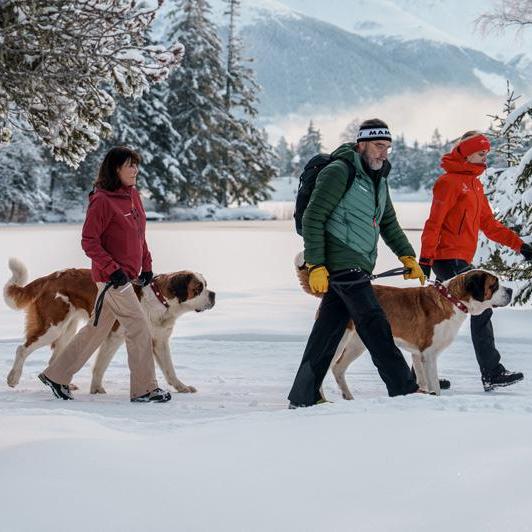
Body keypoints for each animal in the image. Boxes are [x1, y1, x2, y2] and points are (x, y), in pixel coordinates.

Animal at [3, 258, 216, 394]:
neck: (159, 298)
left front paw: (182, 387)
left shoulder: (159, 341)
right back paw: (13, 378)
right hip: (53, 326)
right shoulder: (115, 336)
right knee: (22, 348)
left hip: (68, 328)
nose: (213, 294)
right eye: (198, 288)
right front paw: (96, 389)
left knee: (55, 357)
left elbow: (170, 369)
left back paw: (61, 383)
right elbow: (101, 364)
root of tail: (50, 276)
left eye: (206, 285)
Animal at [294, 252, 512, 394]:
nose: (510, 290)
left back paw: (348, 397)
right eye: (494, 285)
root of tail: (334, 286)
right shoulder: (428, 354)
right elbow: (433, 383)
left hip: (358, 343)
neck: (451, 299)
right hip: (341, 339)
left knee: (338, 368)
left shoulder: (418, 354)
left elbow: (424, 381)